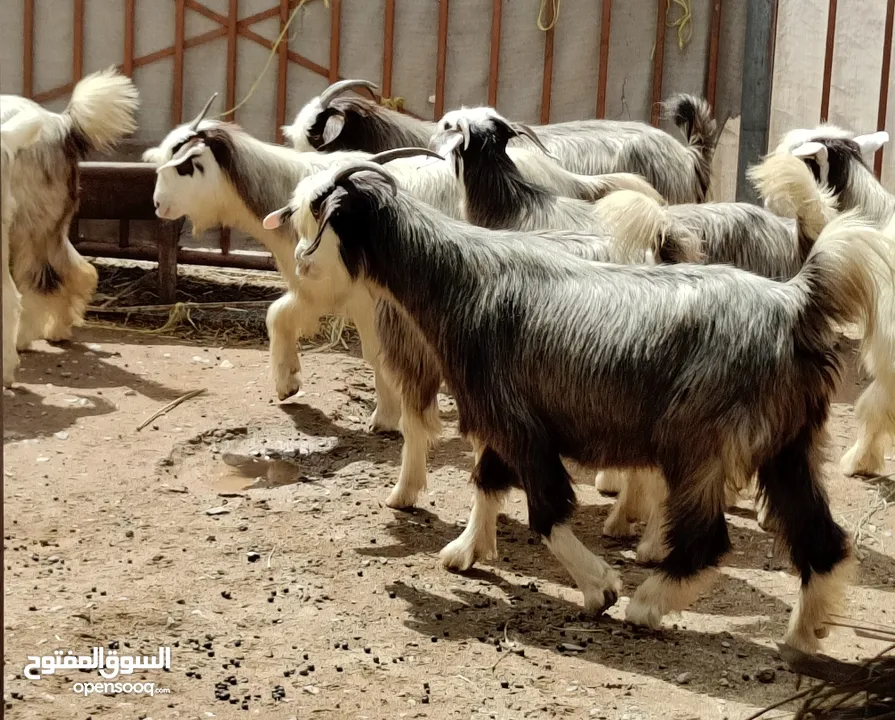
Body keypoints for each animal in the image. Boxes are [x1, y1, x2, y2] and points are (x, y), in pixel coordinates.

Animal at [0, 67, 139, 374]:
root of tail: (62, 125)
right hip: (51, 220)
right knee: (77, 270)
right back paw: (58, 330)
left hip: (29, 220)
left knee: (40, 278)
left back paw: (22, 341)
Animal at [270, 160, 884, 656]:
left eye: (318, 209)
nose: (297, 258)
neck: (461, 280)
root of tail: (795, 301)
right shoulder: (503, 422)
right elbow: (486, 482)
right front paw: (466, 551)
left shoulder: (518, 422)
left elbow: (546, 511)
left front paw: (599, 588)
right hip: (788, 445)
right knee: (823, 540)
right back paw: (804, 634)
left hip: (701, 443)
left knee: (708, 541)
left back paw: (646, 604)